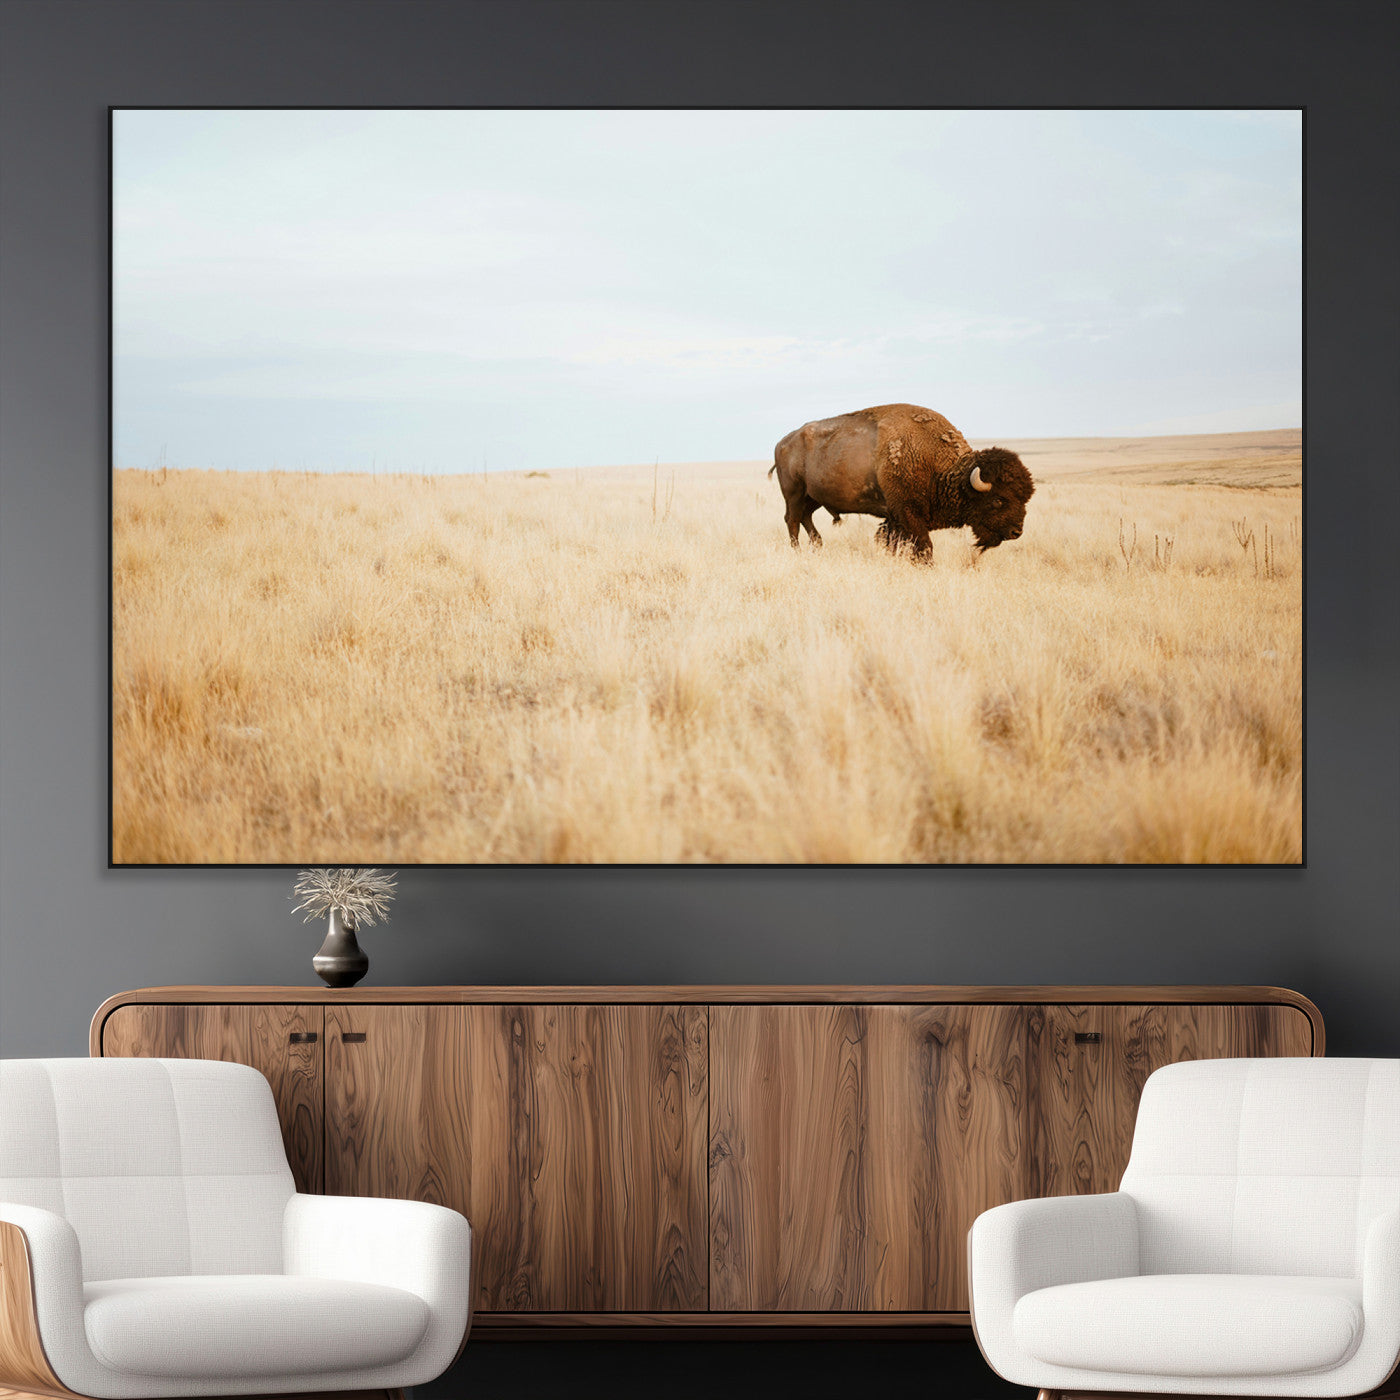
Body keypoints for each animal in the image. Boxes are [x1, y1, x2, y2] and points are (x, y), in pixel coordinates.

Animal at [769, 403, 1035, 559]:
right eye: (998, 499)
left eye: (1025, 498)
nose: (1016, 531)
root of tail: (782, 442)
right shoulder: (908, 513)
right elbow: (924, 546)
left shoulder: (896, 518)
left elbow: (892, 541)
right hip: (794, 493)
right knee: (792, 520)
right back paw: (798, 551)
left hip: (813, 497)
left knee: (805, 517)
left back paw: (818, 546)